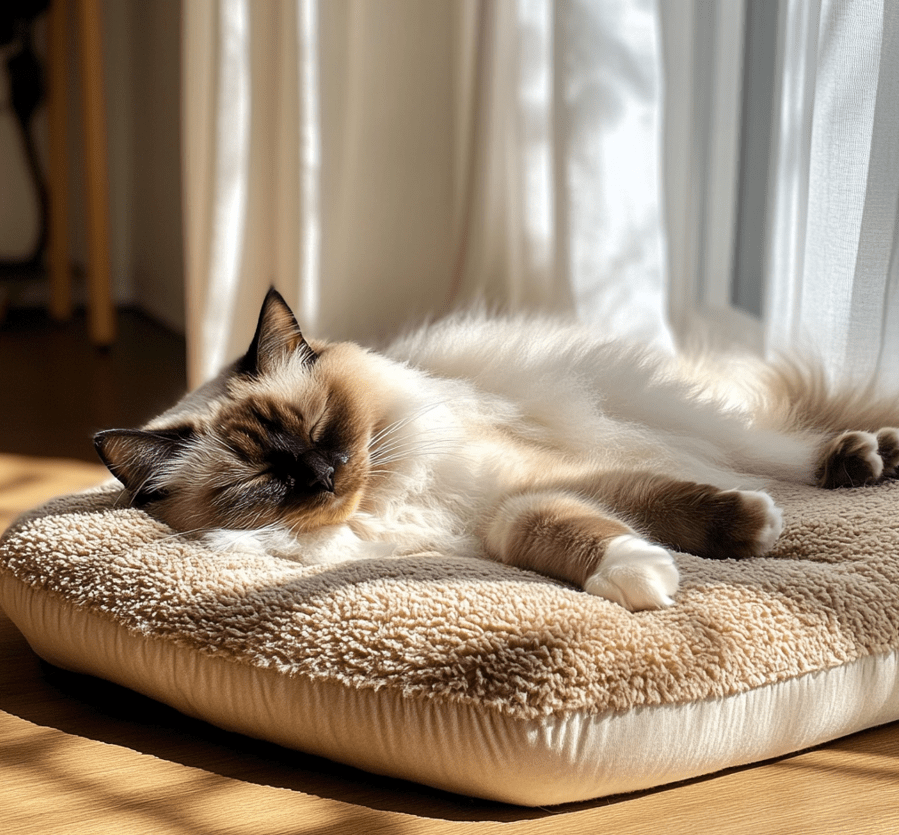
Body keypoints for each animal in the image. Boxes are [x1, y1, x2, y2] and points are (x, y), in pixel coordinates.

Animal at [93, 290, 899, 612]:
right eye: (265, 478)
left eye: (323, 430)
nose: (322, 475)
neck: (396, 499)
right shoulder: (502, 521)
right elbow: (573, 531)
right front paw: (643, 577)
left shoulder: (535, 477)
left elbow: (661, 498)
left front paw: (752, 529)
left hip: (693, 412)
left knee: (787, 447)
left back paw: (866, 457)